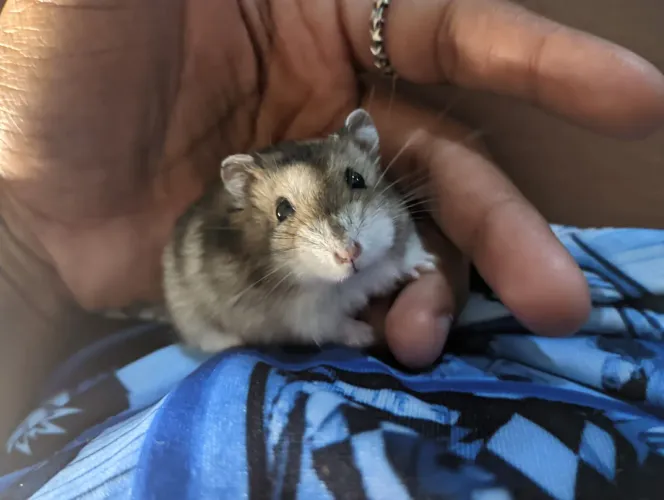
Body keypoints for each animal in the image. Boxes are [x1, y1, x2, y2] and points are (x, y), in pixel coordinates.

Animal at [161, 108, 437, 353]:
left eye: (356, 179)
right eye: (282, 210)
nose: (350, 254)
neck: (349, 282)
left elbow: (406, 251)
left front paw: (430, 264)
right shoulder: (307, 319)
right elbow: (337, 326)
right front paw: (367, 335)